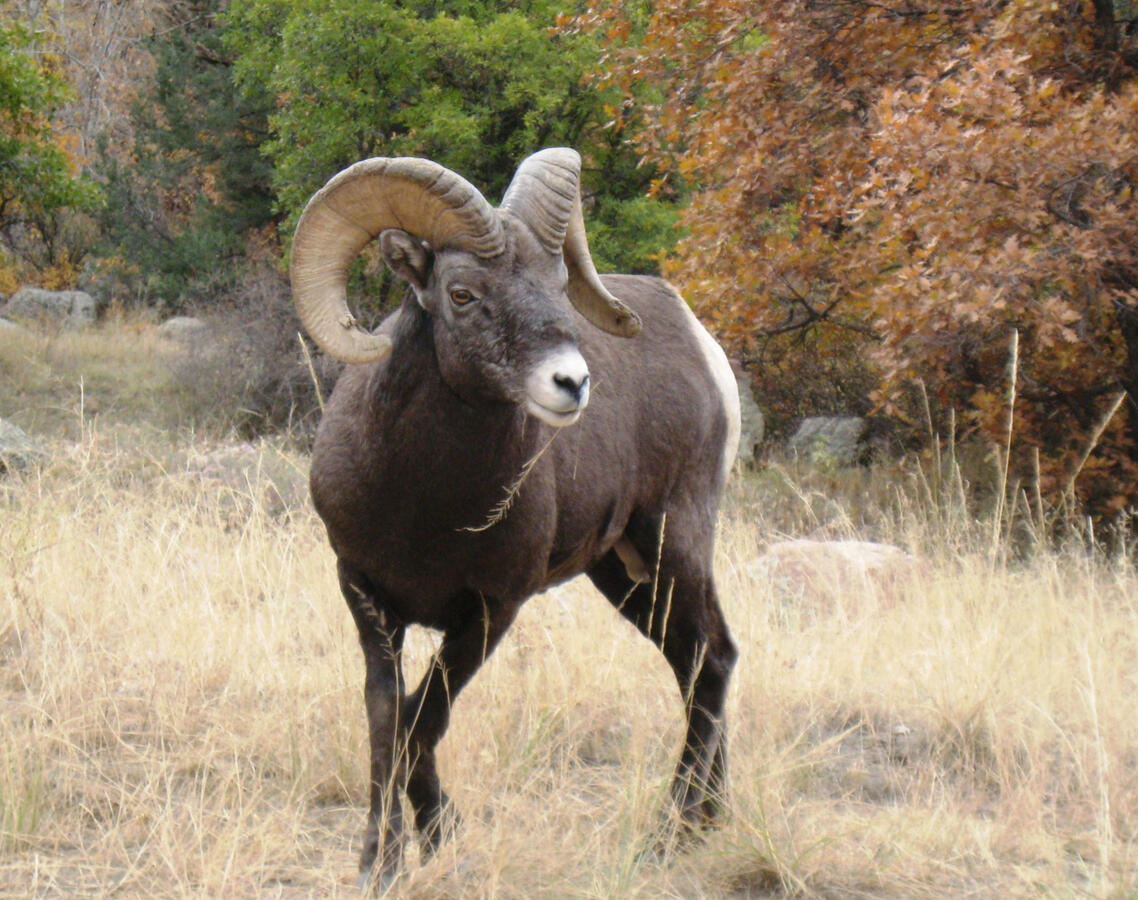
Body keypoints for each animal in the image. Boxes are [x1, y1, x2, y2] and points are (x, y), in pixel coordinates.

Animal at [290, 148, 740, 890]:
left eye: (559, 284)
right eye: (462, 293)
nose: (571, 383)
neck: (424, 509)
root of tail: (702, 345)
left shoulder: (491, 612)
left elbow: (421, 723)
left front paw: (439, 841)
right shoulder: (367, 599)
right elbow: (388, 724)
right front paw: (386, 861)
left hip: (675, 544)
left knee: (712, 660)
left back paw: (669, 835)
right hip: (624, 576)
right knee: (693, 659)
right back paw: (709, 825)